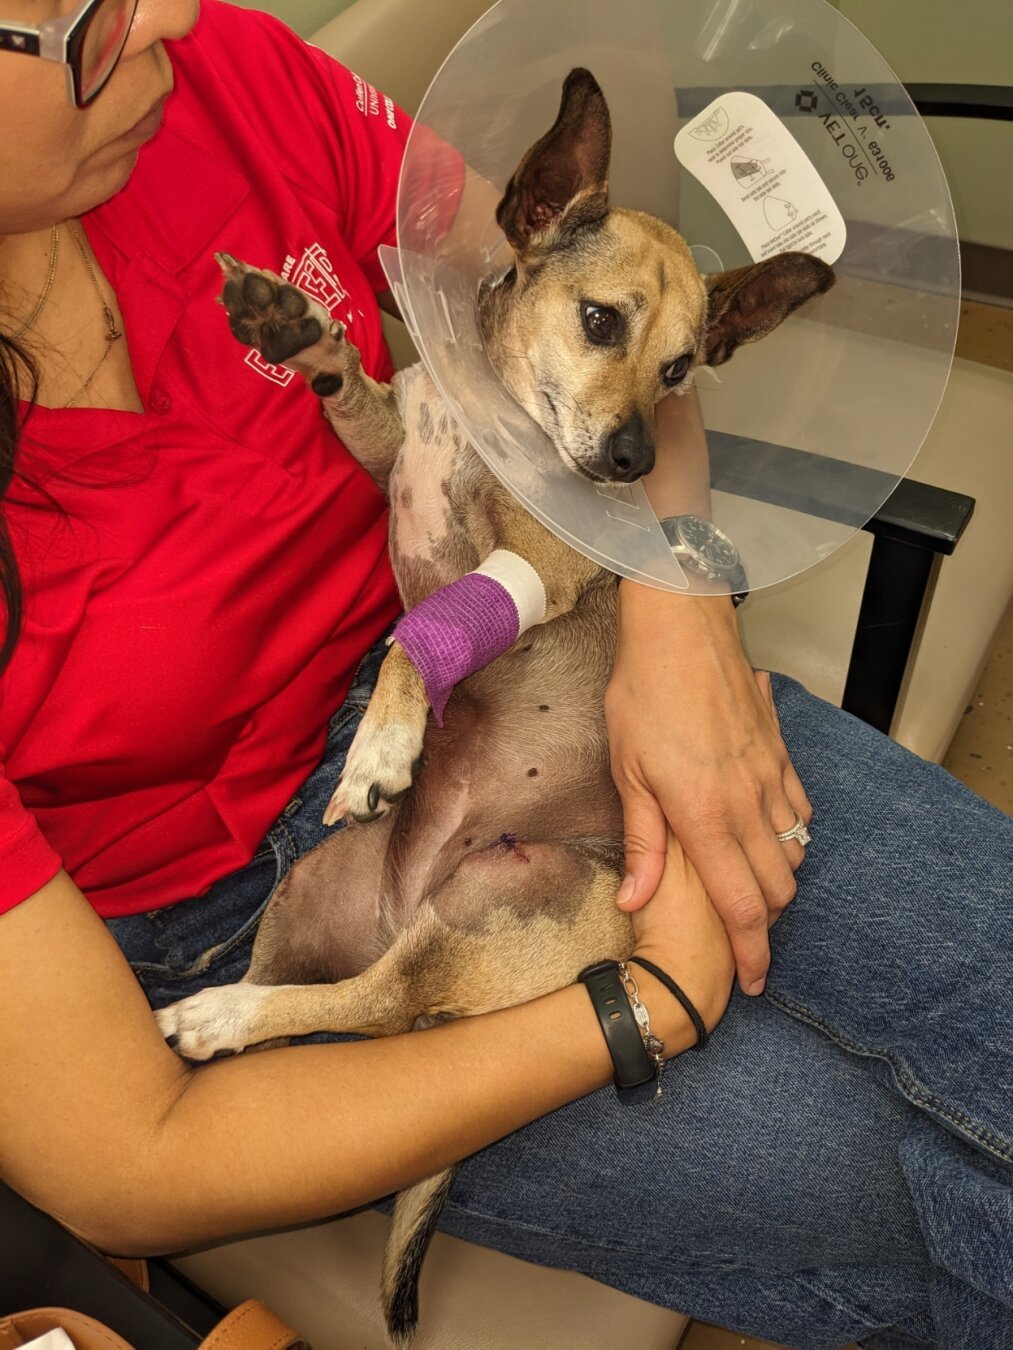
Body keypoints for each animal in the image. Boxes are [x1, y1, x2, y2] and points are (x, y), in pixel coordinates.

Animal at [158, 71, 837, 1339]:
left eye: (683, 369)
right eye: (603, 323)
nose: (628, 462)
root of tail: (404, 909)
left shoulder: (528, 561)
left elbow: (412, 644)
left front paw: (383, 744)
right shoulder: (389, 446)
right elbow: (347, 395)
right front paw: (295, 332)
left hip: (497, 906)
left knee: (372, 1011)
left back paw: (216, 1017)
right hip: (312, 898)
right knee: (322, 1011)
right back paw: (228, 1004)